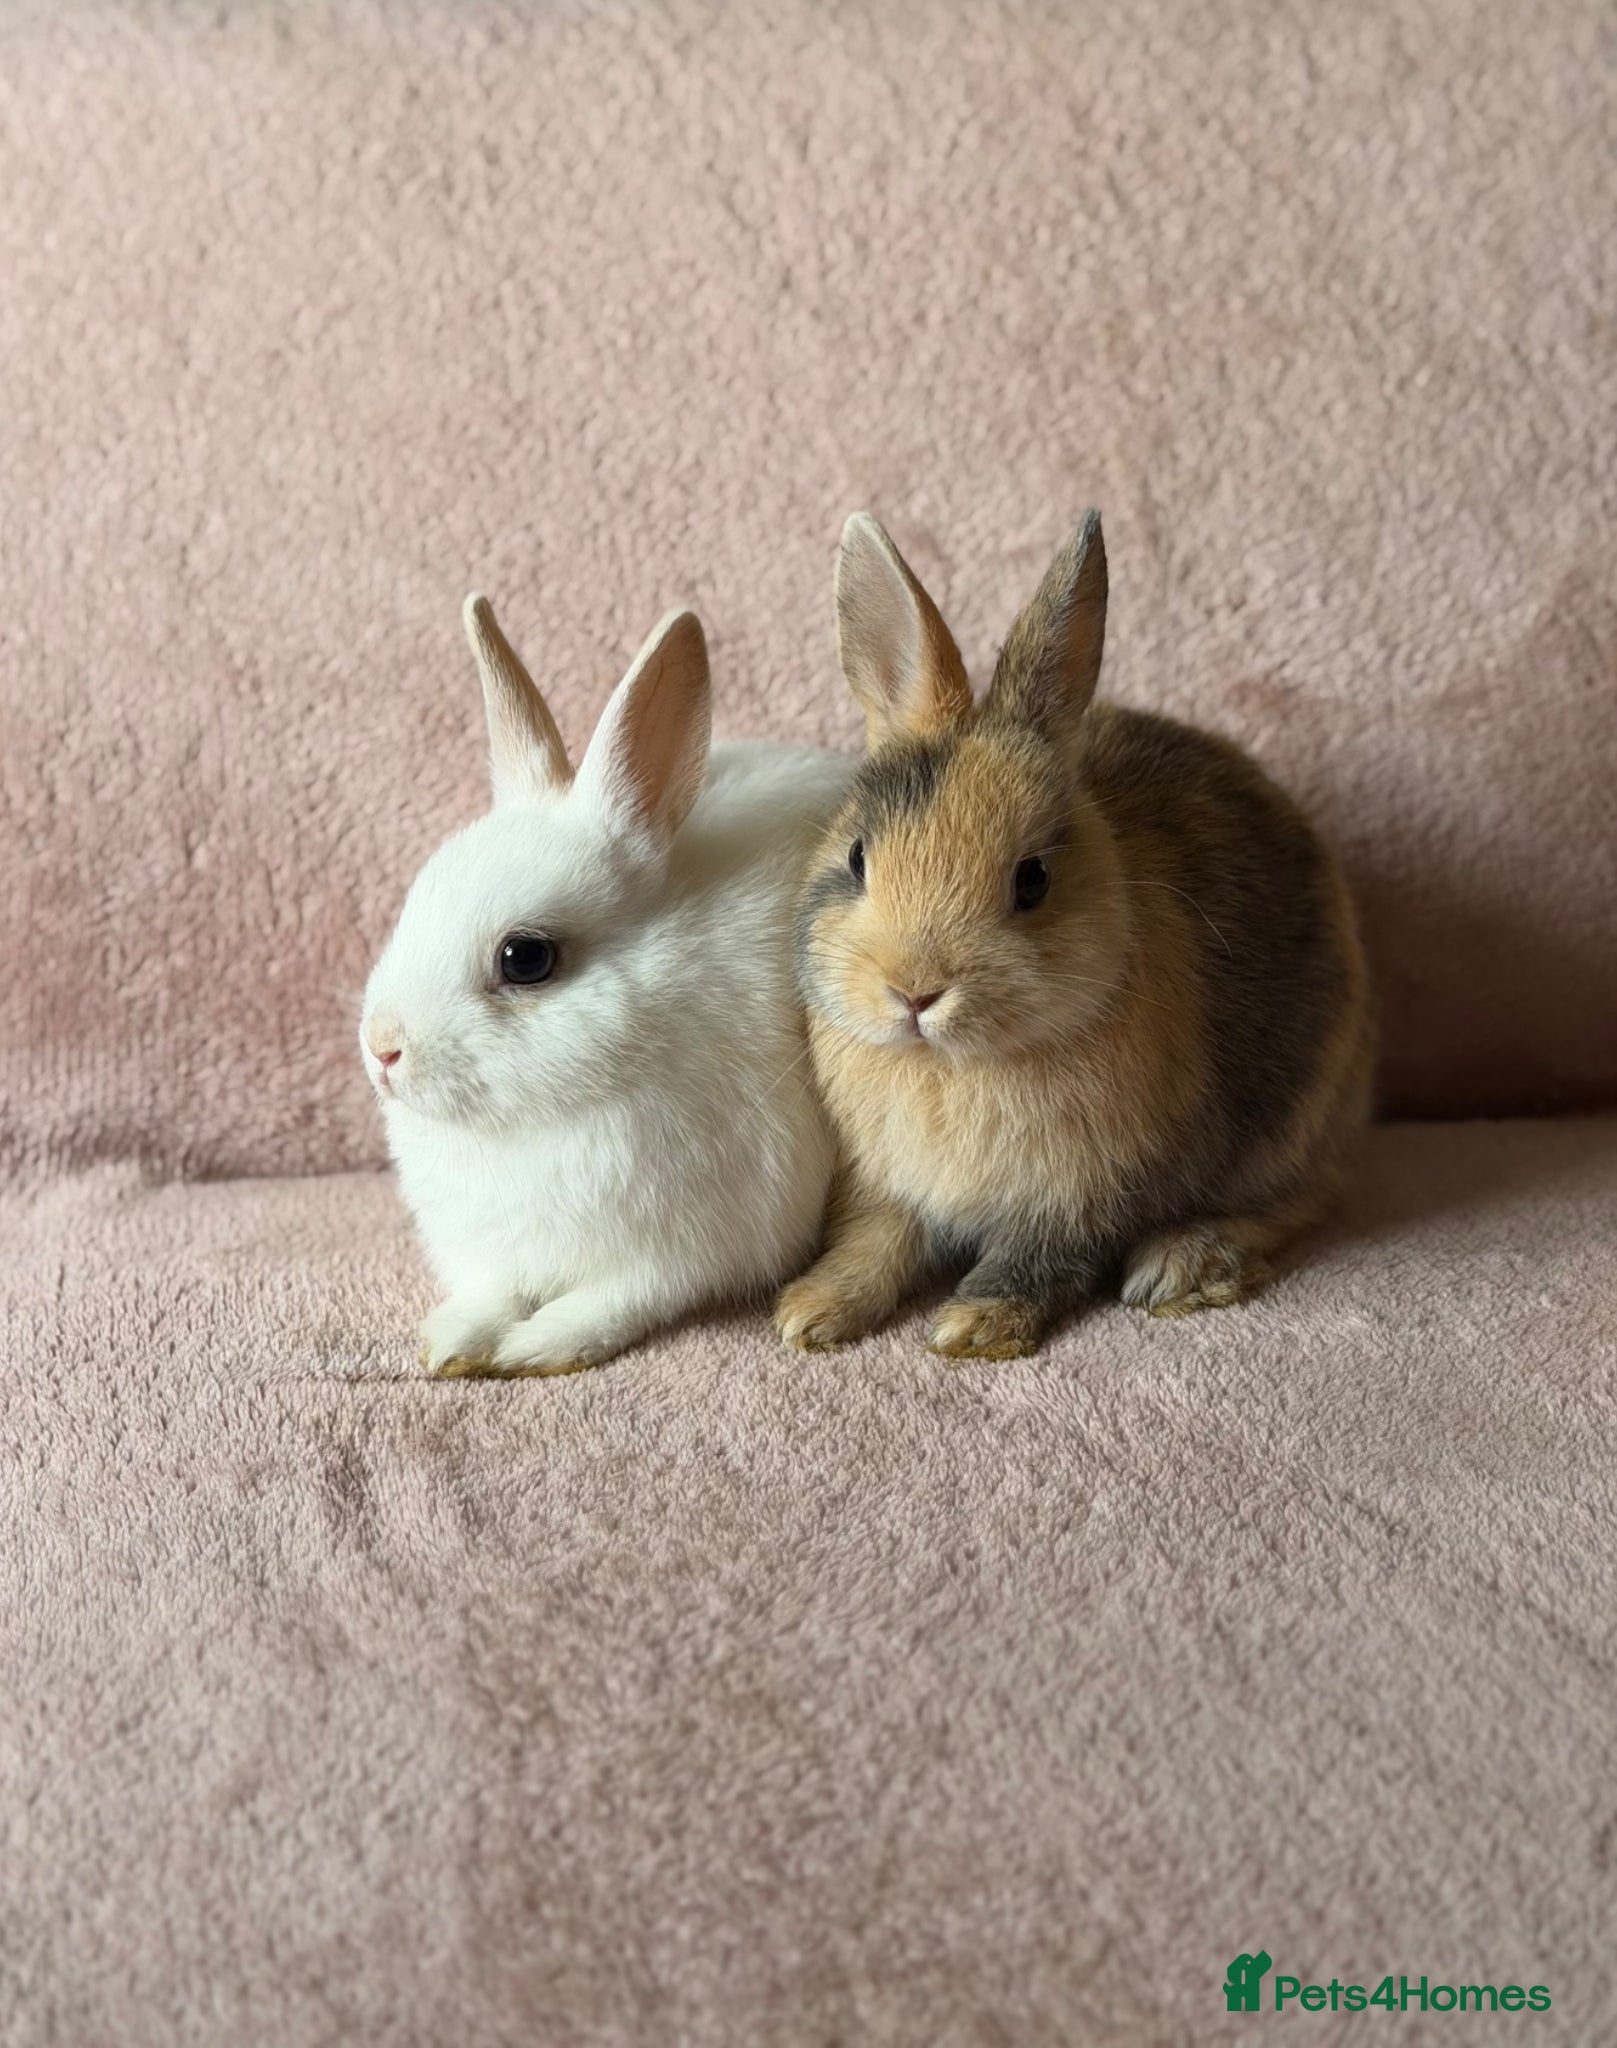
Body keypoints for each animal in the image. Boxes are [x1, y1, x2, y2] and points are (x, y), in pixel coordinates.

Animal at [362, 592, 851, 1376]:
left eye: (524, 958)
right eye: (416, 897)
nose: (382, 1048)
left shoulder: (677, 1252)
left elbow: (615, 1303)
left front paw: (536, 1347)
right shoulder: (490, 1253)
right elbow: (490, 1294)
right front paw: (453, 1344)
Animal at [775, 510, 1373, 1360]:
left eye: (1032, 880)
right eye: (857, 858)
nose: (913, 992)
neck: (950, 1063)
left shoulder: (1080, 1195)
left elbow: (1040, 1260)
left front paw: (972, 1329)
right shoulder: (885, 1183)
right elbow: (873, 1241)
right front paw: (811, 1312)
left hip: (1295, 1120)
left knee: (1308, 1198)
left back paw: (1184, 1265)